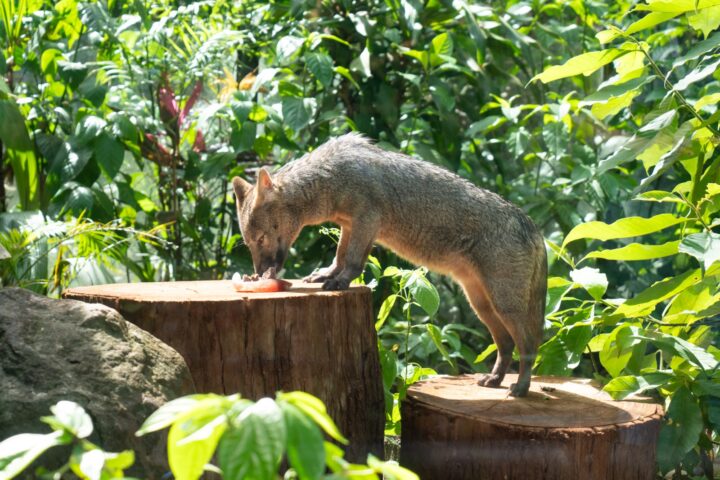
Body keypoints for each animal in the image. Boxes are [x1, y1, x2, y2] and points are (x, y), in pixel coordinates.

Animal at [233, 133, 548, 396]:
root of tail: (533, 227)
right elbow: (339, 256)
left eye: (261, 239)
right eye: (250, 244)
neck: (331, 174)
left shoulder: (366, 221)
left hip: (505, 307)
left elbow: (352, 261)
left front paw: (340, 282)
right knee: (507, 345)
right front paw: (326, 275)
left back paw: (520, 388)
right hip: (482, 306)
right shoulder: (350, 225)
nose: (259, 274)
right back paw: (494, 380)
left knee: (529, 346)